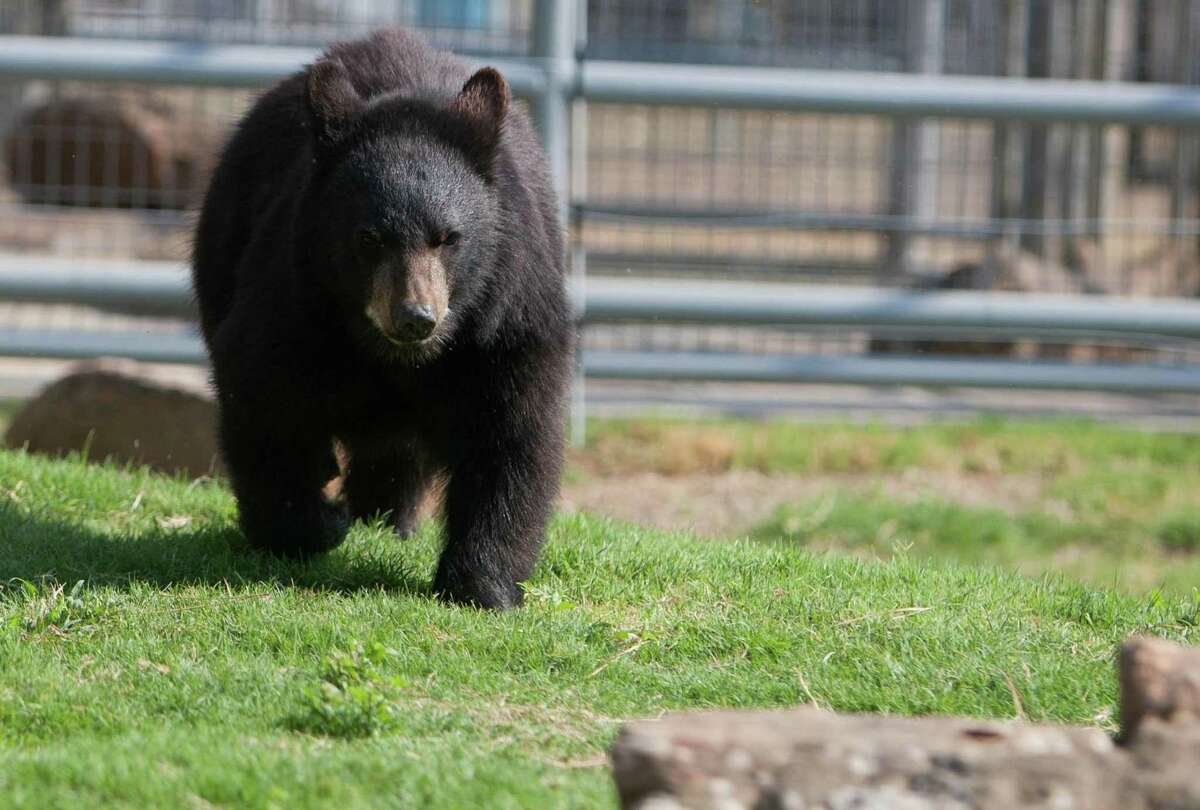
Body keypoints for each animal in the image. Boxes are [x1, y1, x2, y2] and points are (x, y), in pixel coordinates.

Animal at [190, 30, 571, 609]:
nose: (416, 317)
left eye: (449, 238)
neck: (395, 358)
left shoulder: (507, 321)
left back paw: (389, 515)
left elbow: (511, 435)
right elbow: (266, 401)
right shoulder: (293, 302)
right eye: (369, 237)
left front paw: (483, 584)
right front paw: (313, 525)